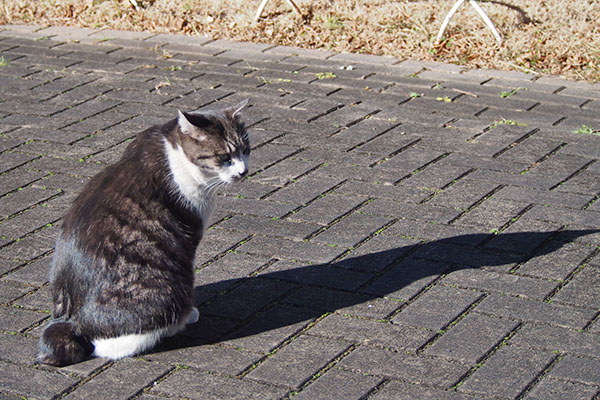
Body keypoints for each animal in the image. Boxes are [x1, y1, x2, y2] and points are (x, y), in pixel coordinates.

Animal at [37, 99, 250, 366]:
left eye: (246, 149)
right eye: (224, 157)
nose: (243, 172)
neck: (176, 154)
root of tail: (71, 322)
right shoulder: (189, 237)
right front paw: (192, 313)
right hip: (166, 289)